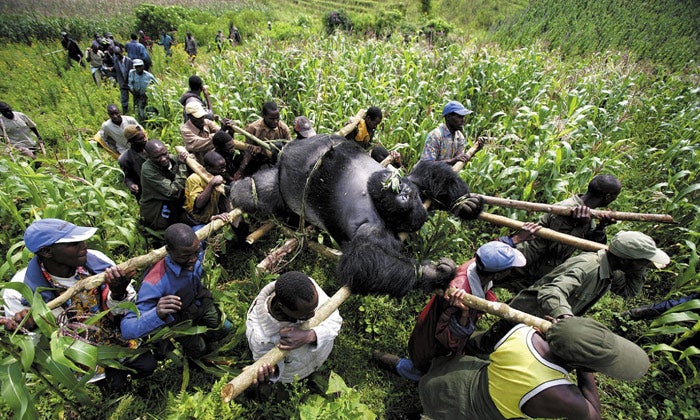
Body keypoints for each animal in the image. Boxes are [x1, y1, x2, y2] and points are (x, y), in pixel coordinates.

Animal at [231, 135, 482, 296]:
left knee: (261, 191)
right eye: (402, 193)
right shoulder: (400, 195)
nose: (400, 190)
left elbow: (428, 173)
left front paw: (464, 205)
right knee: (259, 190)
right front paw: (431, 272)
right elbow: (364, 258)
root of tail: (285, 152)